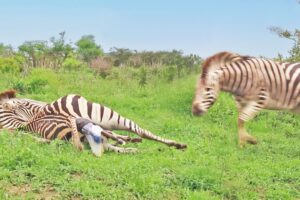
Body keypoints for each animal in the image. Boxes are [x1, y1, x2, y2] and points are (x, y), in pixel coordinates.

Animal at [0, 89, 186, 156]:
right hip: (108, 116)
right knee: (139, 131)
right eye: (24, 104)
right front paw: (126, 141)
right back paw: (177, 144)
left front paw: (125, 141)